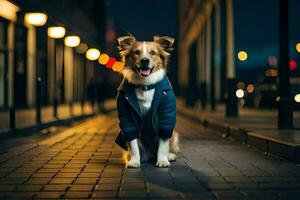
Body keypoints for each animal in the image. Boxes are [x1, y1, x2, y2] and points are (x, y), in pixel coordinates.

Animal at [114, 34, 178, 167]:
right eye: (136, 52)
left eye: (153, 52)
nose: (145, 60)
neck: (145, 85)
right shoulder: (127, 119)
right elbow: (133, 143)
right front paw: (134, 160)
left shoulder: (166, 117)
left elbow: (163, 143)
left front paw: (162, 160)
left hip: (174, 134)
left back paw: (169, 156)